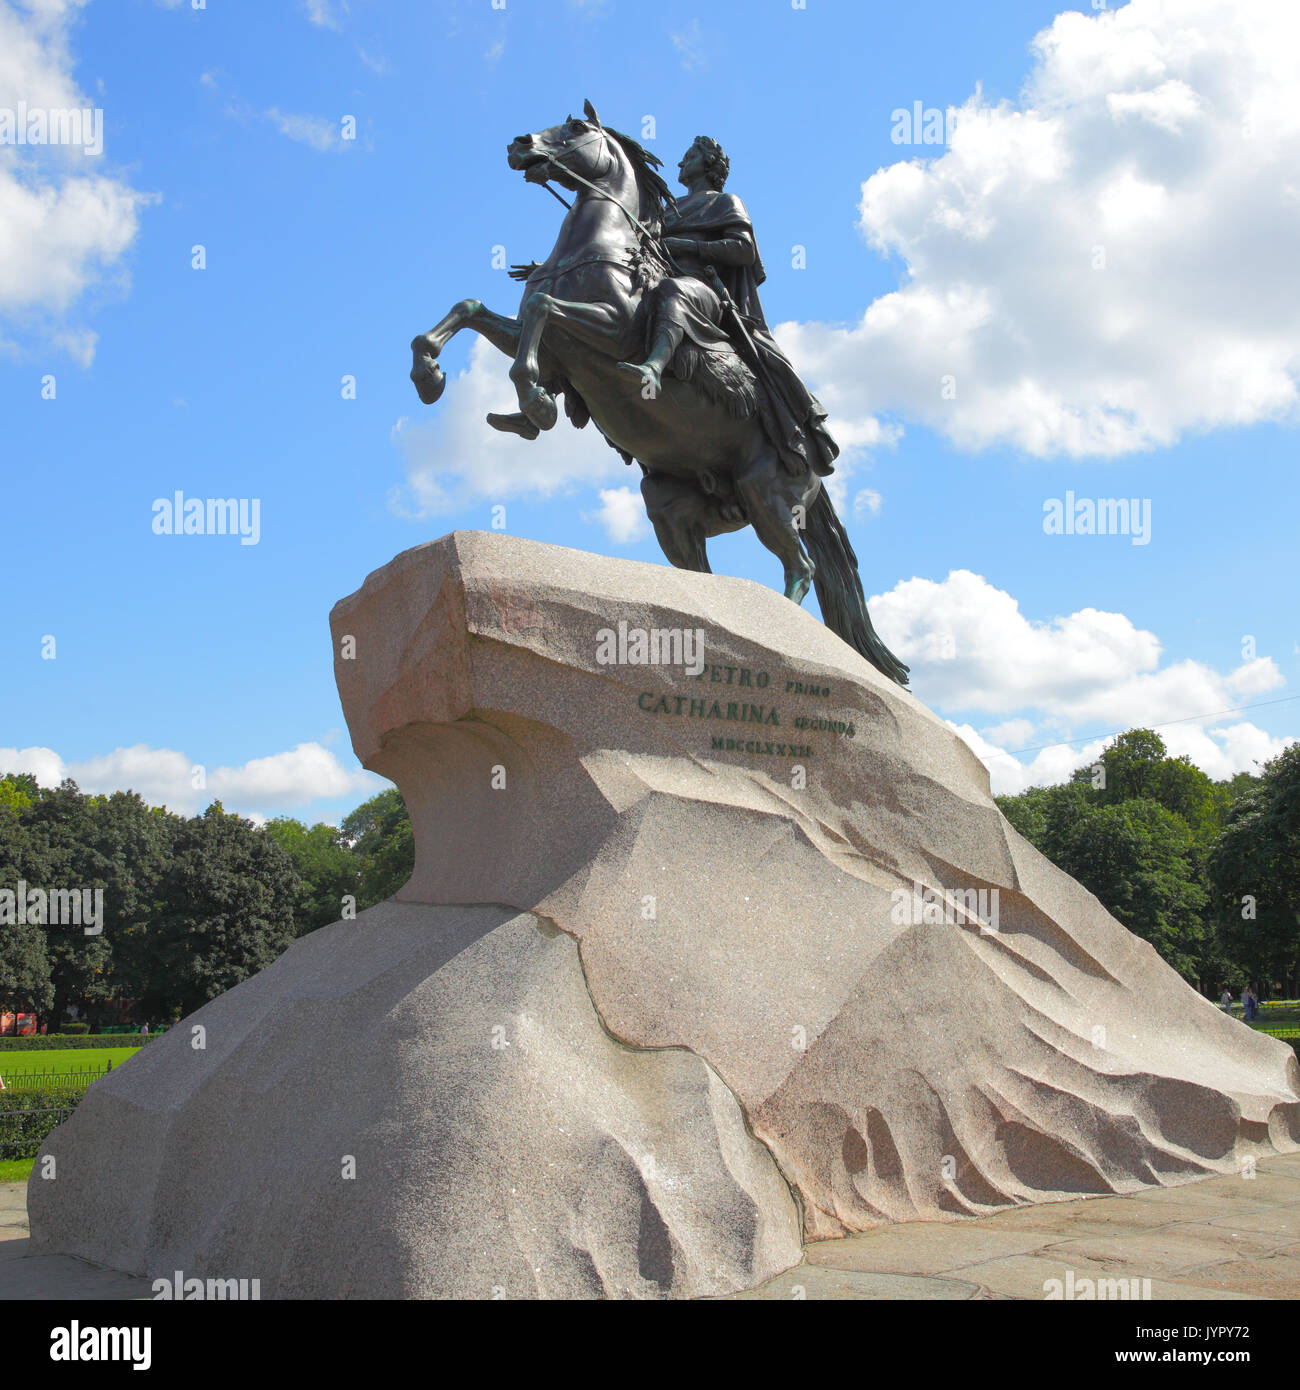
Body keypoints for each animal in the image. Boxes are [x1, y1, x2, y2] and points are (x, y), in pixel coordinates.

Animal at [411, 100, 912, 686]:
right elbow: (472, 309)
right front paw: (432, 377)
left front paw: (535, 402)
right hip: (673, 511)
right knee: (707, 573)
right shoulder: (547, 344)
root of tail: (816, 458)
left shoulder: (609, 330)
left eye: (576, 128)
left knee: (801, 567)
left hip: (767, 496)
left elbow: (542, 310)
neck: (598, 247)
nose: (519, 144)